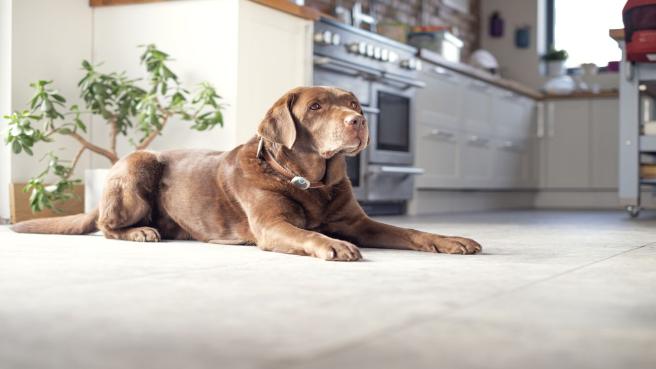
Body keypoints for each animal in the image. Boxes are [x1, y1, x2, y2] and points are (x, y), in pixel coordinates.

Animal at [12, 86, 480, 260]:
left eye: (353, 104)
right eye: (316, 107)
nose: (359, 121)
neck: (312, 182)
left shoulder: (358, 222)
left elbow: (410, 231)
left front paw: (449, 239)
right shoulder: (272, 226)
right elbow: (309, 233)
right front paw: (332, 245)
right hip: (138, 162)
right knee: (106, 227)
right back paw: (141, 231)